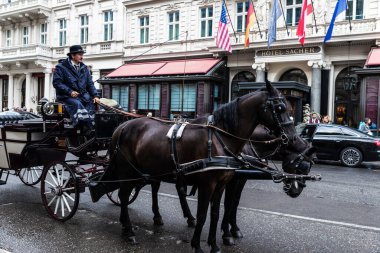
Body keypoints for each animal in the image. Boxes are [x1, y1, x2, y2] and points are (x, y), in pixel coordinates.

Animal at [94, 81, 312, 253]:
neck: (221, 137)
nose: (292, 137)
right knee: (123, 195)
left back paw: (147, 220)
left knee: (149, 189)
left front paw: (216, 243)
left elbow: (217, 212)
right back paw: (129, 230)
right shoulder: (209, 183)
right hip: (127, 170)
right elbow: (205, 212)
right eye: (280, 108)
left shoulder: (224, 182)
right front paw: (200, 243)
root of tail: (122, 127)